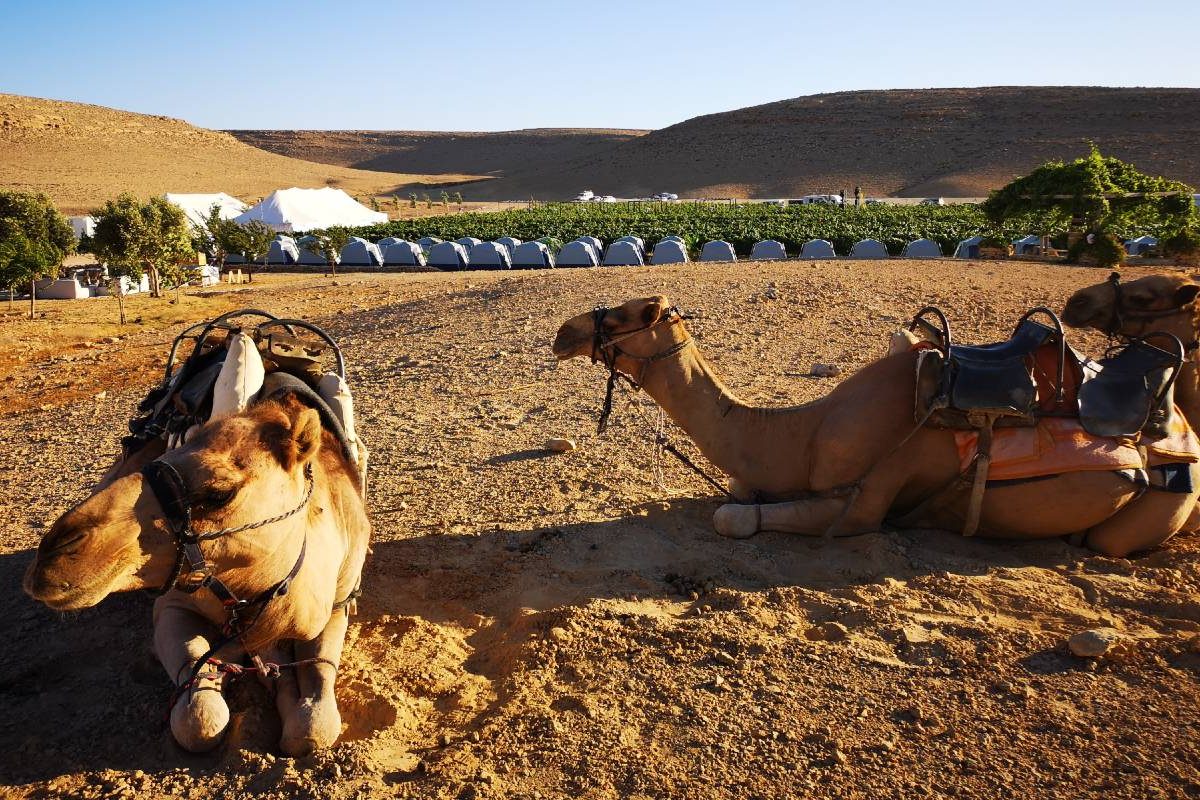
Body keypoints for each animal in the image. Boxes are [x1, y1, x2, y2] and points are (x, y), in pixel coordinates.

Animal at [24, 393, 369, 758]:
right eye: (165, 456)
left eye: (219, 493)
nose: (53, 552)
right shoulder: (174, 604)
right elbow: (198, 716)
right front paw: (234, 662)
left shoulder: (336, 603)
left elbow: (314, 713)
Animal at [552, 296, 1200, 556]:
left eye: (633, 315)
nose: (564, 331)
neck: (806, 432)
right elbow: (739, 491)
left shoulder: (865, 502)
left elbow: (733, 517)